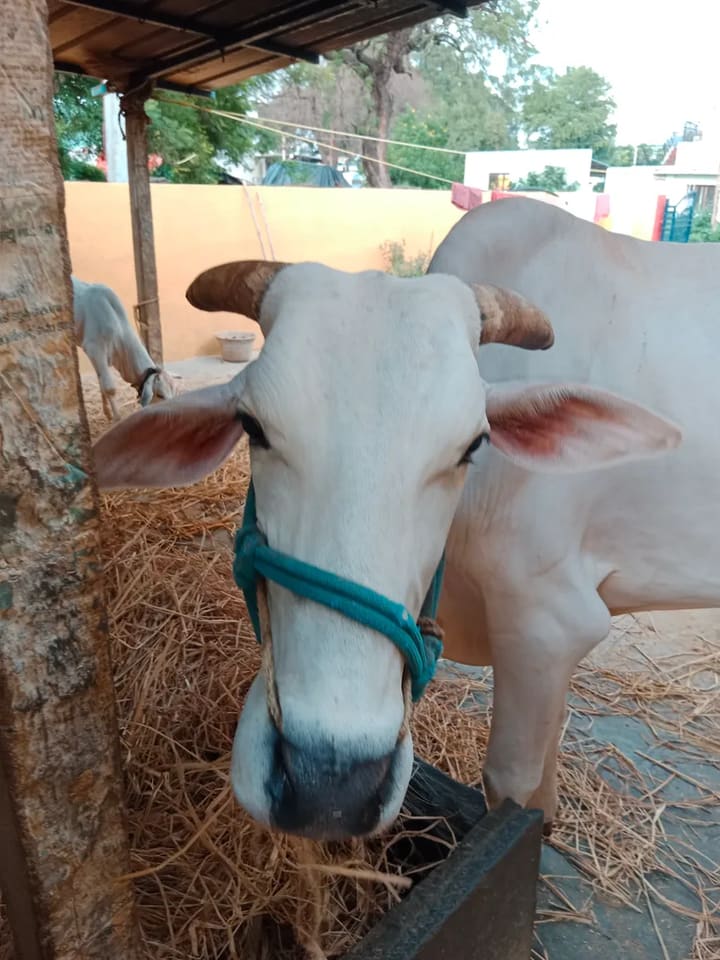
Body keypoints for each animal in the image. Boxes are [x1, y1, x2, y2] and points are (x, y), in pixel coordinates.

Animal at [72, 276, 176, 420]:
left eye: (174, 391)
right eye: (160, 395)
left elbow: (101, 381)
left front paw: (108, 412)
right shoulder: (94, 349)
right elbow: (109, 387)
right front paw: (117, 418)